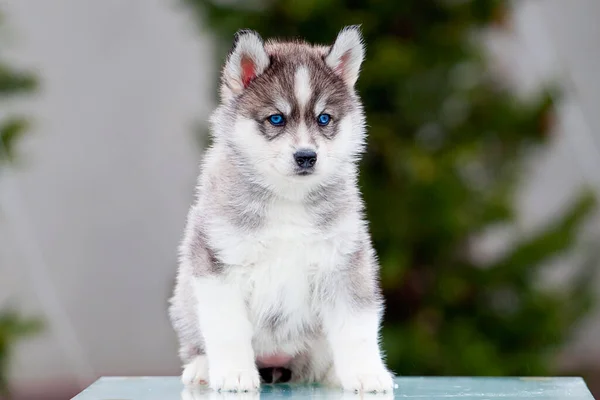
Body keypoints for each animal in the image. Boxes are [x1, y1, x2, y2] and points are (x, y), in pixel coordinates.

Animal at [169, 25, 394, 394]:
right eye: (276, 118)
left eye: (324, 119)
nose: (306, 156)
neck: (288, 198)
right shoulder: (218, 262)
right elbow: (227, 327)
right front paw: (234, 373)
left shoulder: (345, 262)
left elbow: (356, 328)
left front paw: (365, 373)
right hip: (186, 300)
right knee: (197, 341)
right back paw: (202, 367)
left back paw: (334, 373)